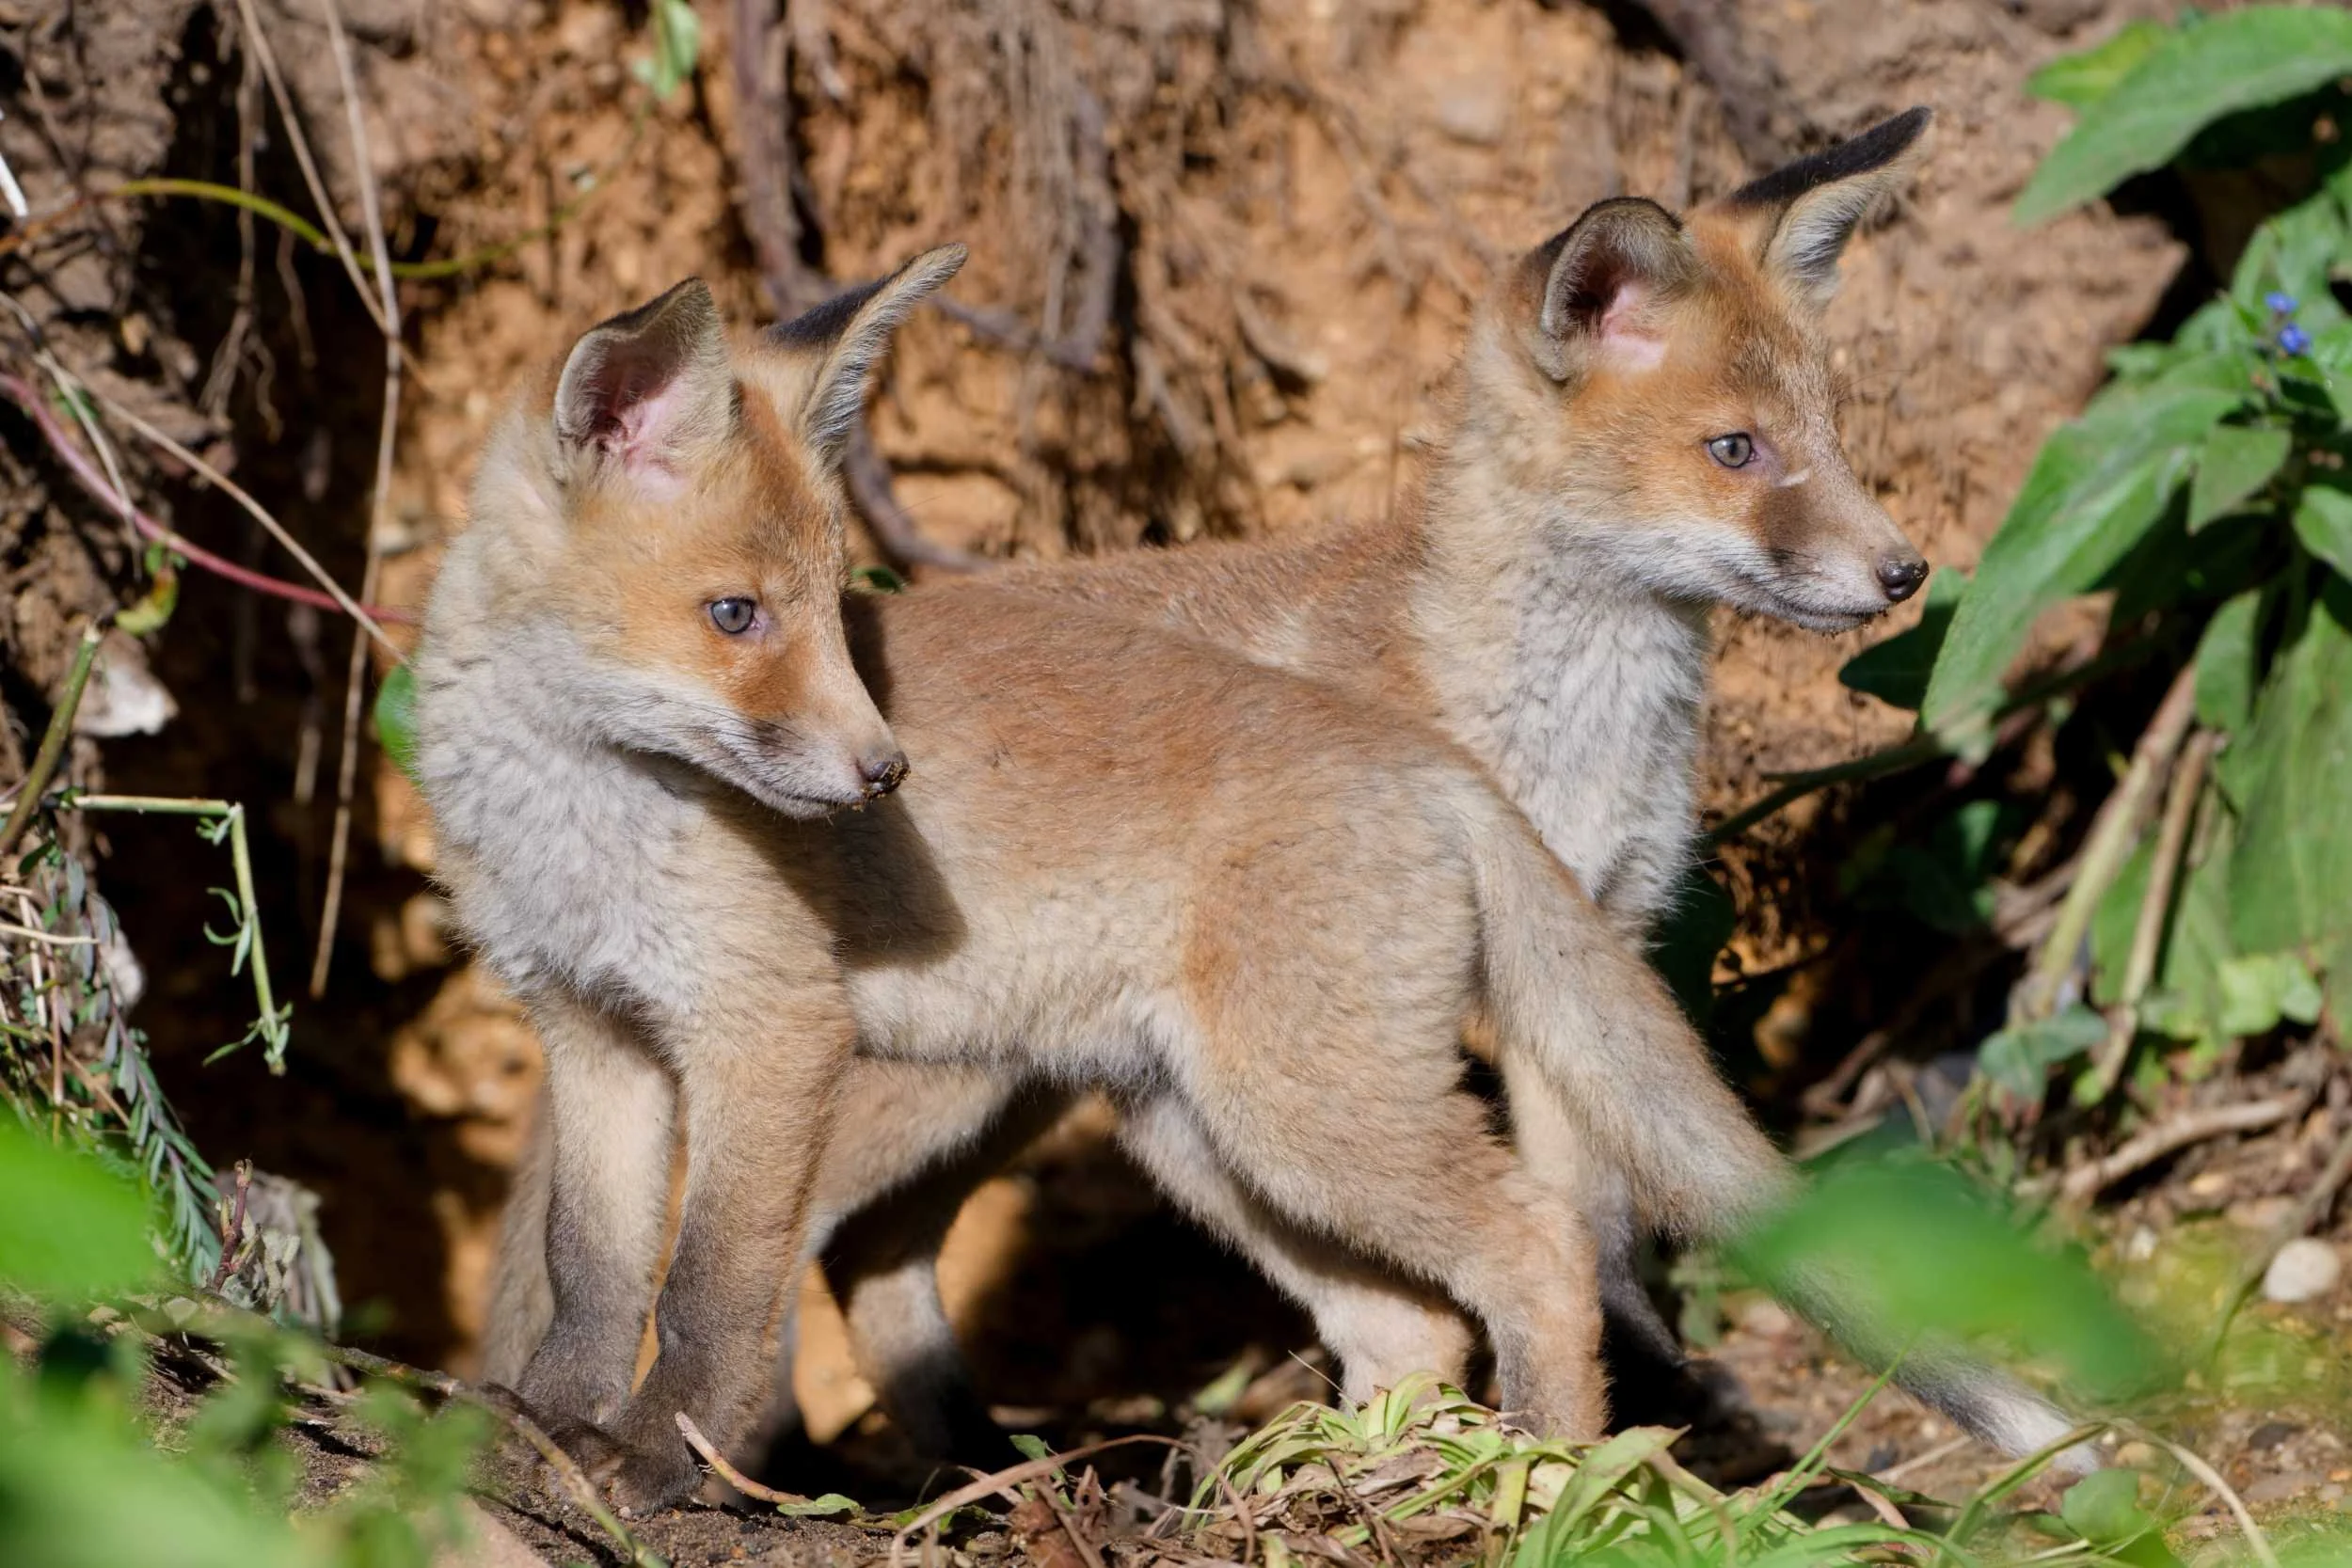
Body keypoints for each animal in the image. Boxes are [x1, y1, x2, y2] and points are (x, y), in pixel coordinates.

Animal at [478, 105, 2090, 1479]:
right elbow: (1568, 1237)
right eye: (1736, 451)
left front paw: (1597, 1413)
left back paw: (980, 1464)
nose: (1903, 571)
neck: (1557, 724)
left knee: (876, 1263)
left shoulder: (1591, 941)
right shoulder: (1513, 974)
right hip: (965, 1078)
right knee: (775, 1247)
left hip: (1081, 1080)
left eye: (1828, 437)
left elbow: (1596, 1231)